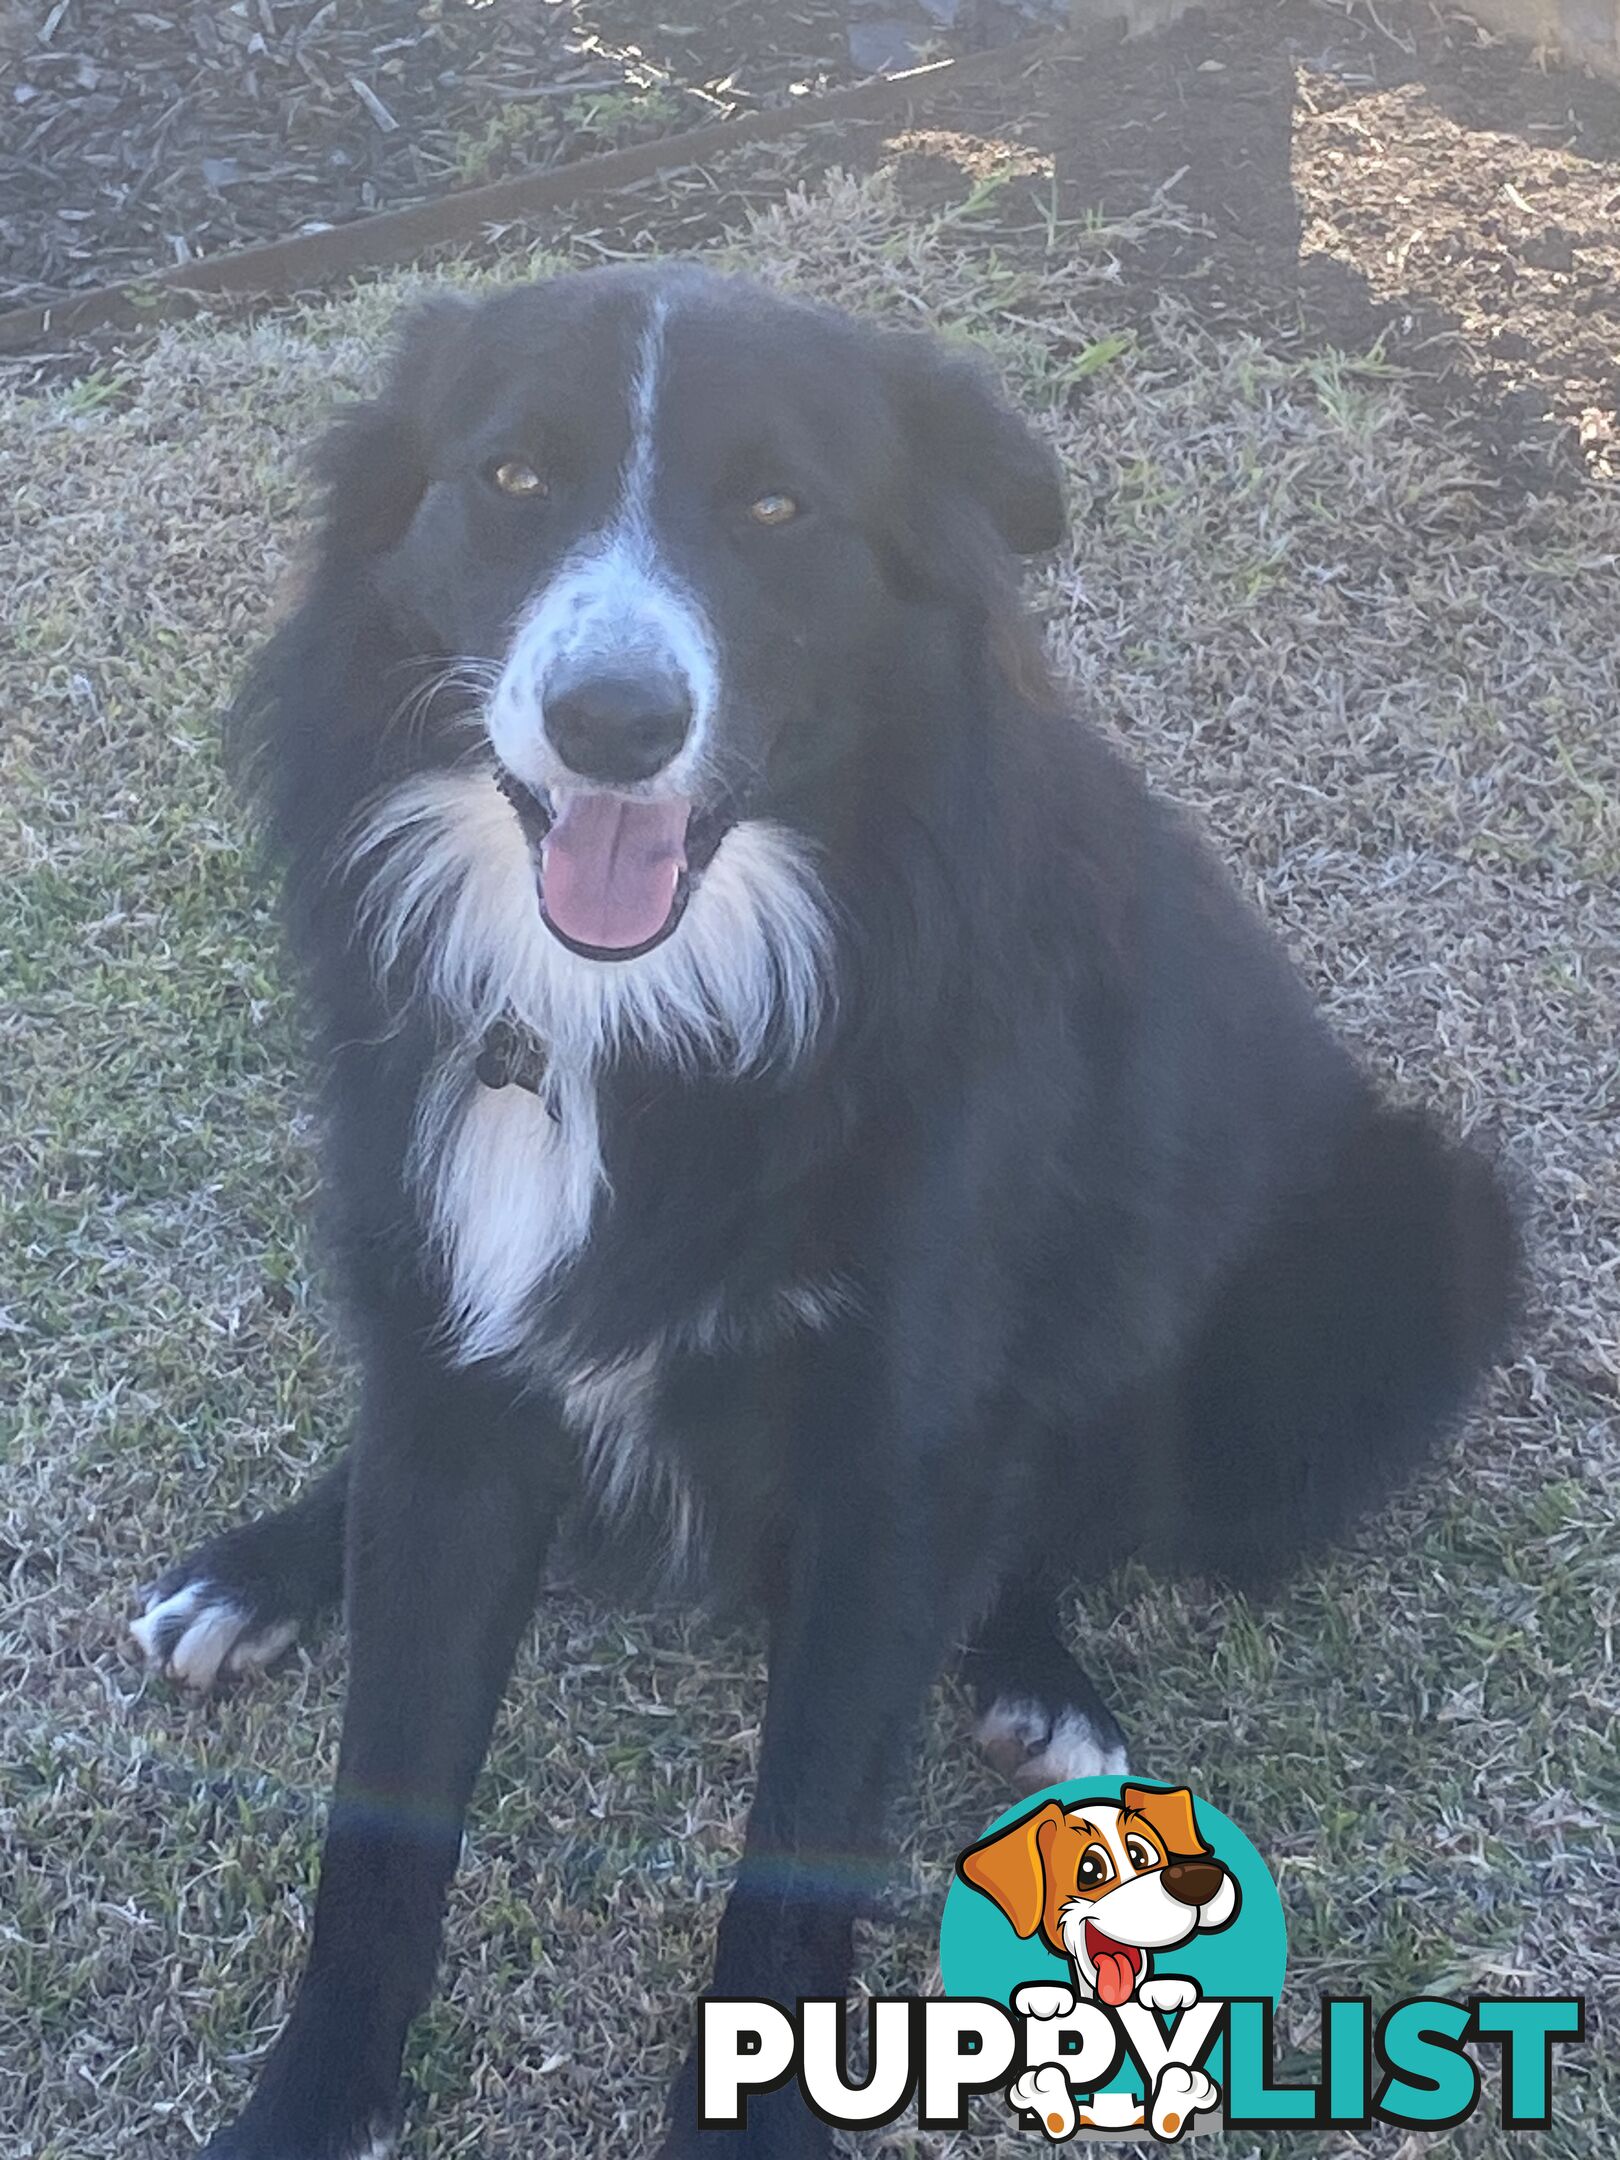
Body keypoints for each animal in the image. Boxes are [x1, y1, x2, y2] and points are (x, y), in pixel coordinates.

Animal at [133, 274, 1529, 2160]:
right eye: (510, 478)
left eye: (780, 506)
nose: (615, 724)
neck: (637, 1024)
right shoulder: (451, 1387)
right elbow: (385, 1818)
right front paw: (310, 2101)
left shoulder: (889, 1451)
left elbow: (797, 1862)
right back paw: (250, 1573)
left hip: (1405, 1273)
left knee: (1060, 1502)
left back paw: (1043, 1683)